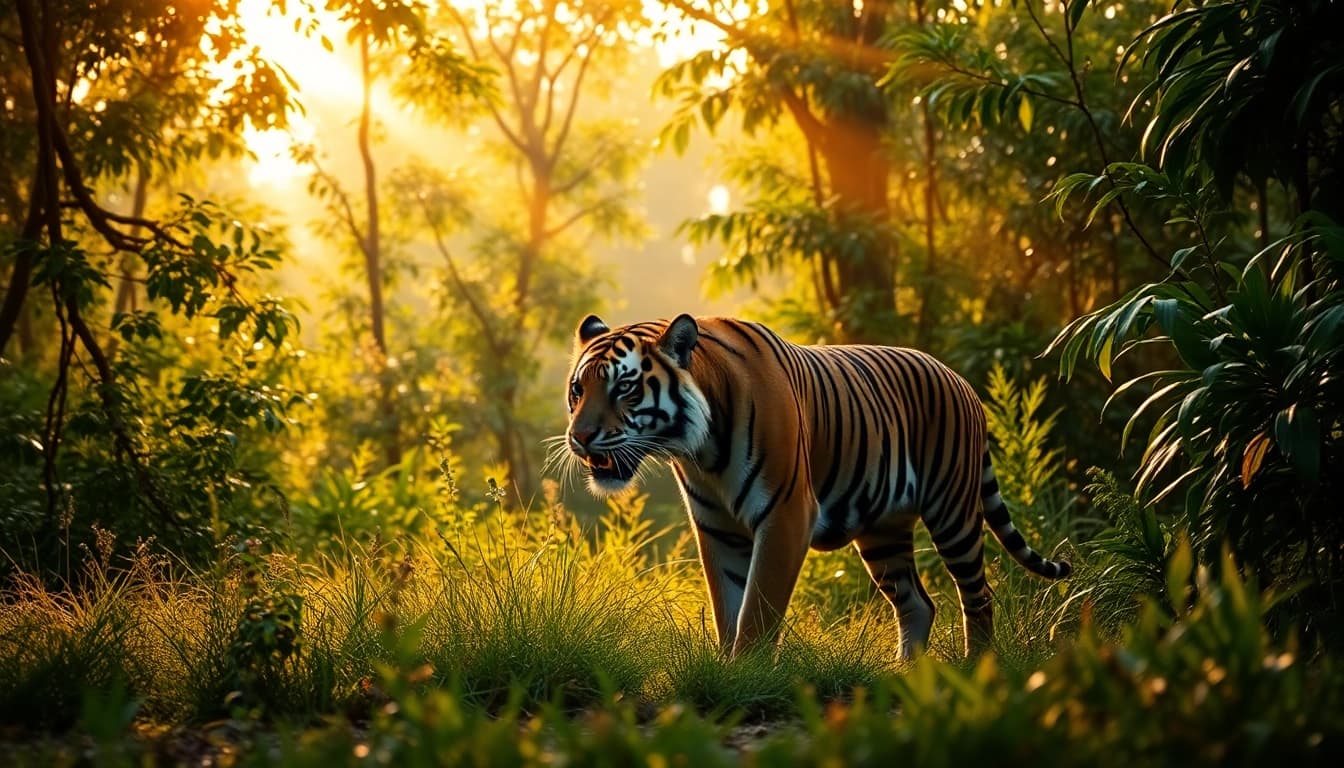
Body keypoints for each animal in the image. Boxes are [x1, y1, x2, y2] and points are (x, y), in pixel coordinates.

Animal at [560, 313, 1071, 659]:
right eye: (578, 390)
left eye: (624, 389)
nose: (579, 438)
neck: (700, 448)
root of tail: (961, 380)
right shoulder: (716, 527)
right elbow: (728, 605)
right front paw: (725, 671)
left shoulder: (786, 514)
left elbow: (757, 608)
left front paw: (745, 672)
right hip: (883, 533)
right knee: (918, 603)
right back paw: (907, 673)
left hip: (953, 513)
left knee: (979, 597)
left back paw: (972, 670)